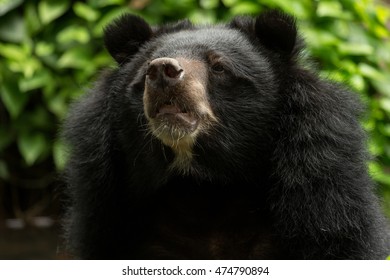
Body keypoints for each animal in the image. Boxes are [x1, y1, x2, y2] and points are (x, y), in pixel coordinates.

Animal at [62, 9, 388, 260]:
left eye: (218, 66)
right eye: (145, 71)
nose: (163, 71)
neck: (205, 186)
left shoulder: (321, 191)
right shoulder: (106, 211)